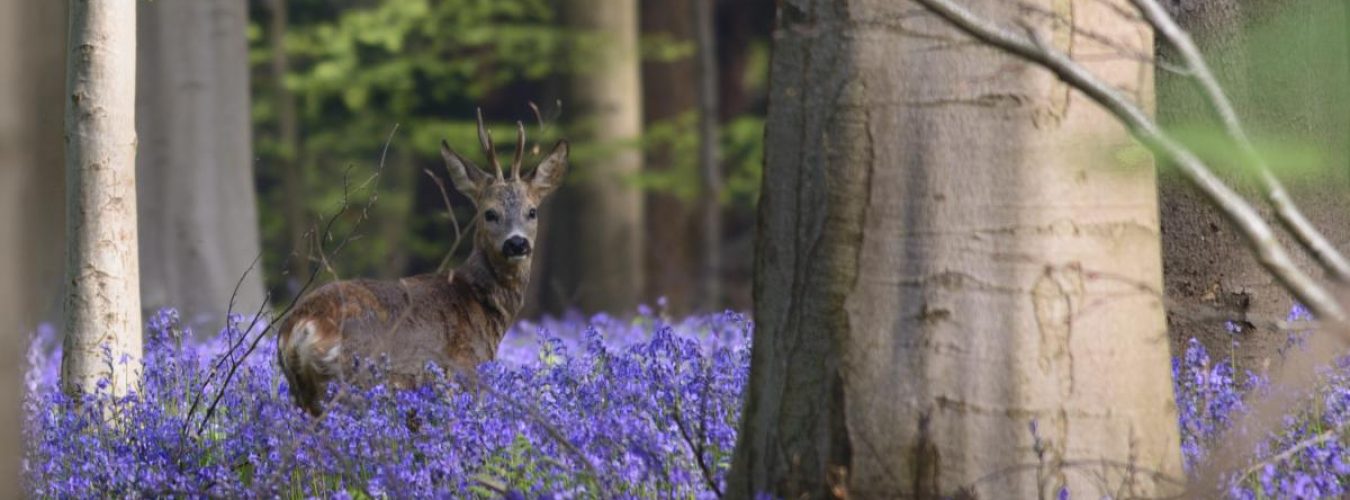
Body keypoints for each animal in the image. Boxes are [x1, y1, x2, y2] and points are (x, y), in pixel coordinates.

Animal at [276, 112, 567, 413]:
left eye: (532, 211)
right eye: (489, 213)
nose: (517, 243)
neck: (481, 305)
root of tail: (300, 328)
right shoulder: (464, 370)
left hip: (304, 394)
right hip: (356, 381)